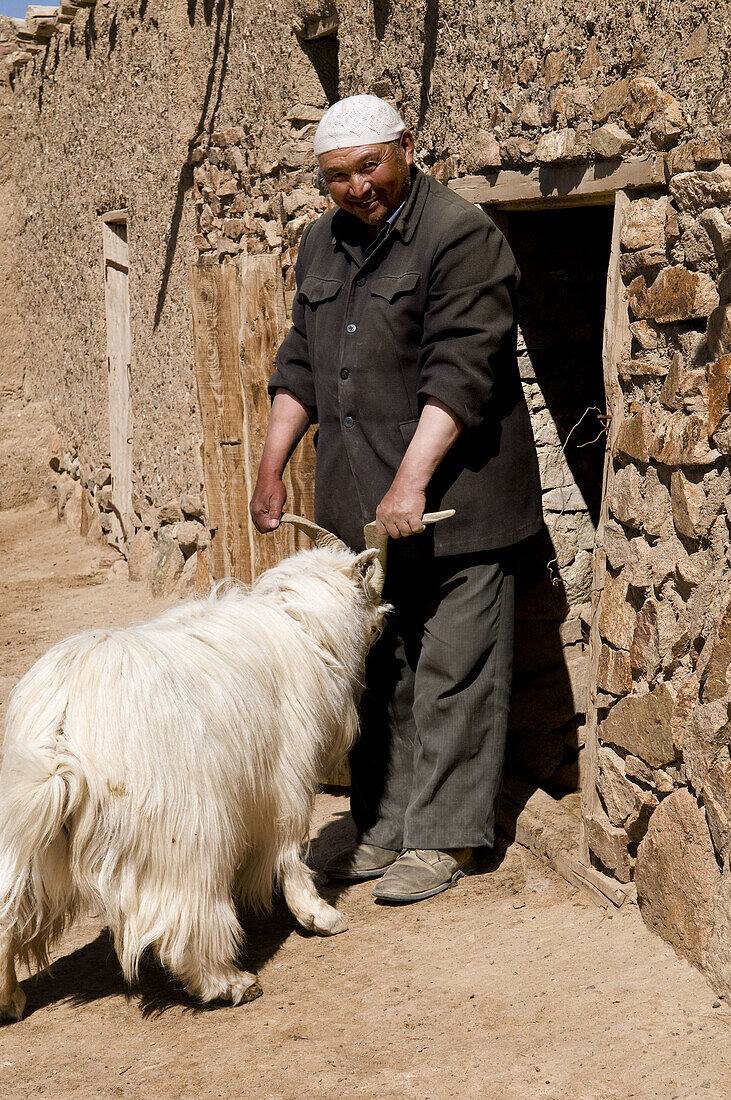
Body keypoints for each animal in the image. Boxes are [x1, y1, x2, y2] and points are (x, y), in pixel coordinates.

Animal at [0, 517, 386, 1020]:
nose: (385, 619)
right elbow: (289, 849)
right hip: (184, 830)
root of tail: (65, 717)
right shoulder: (287, 777)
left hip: (30, 830)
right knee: (186, 918)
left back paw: (9, 999)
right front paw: (320, 916)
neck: (299, 622)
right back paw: (229, 982)